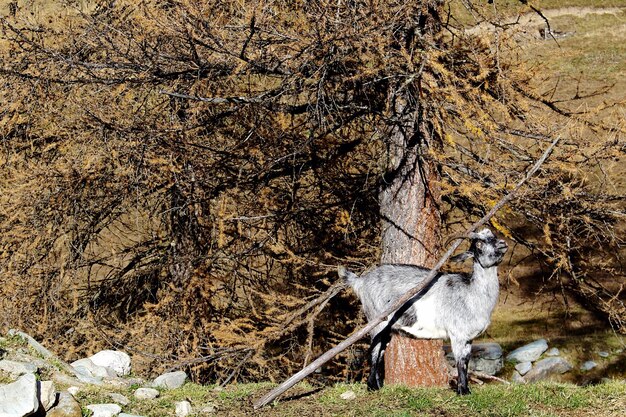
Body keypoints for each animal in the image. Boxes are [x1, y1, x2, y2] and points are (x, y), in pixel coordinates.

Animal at [336, 228, 508, 394]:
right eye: (478, 243)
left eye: (493, 235)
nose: (502, 244)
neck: (472, 294)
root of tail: (361, 281)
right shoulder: (457, 334)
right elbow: (460, 362)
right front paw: (463, 392)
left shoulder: (468, 338)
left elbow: (466, 361)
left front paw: (466, 390)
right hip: (377, 320)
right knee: (374, 351)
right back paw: (372, 387)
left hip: (388, 328)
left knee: (380, 352)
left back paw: (377, 386)